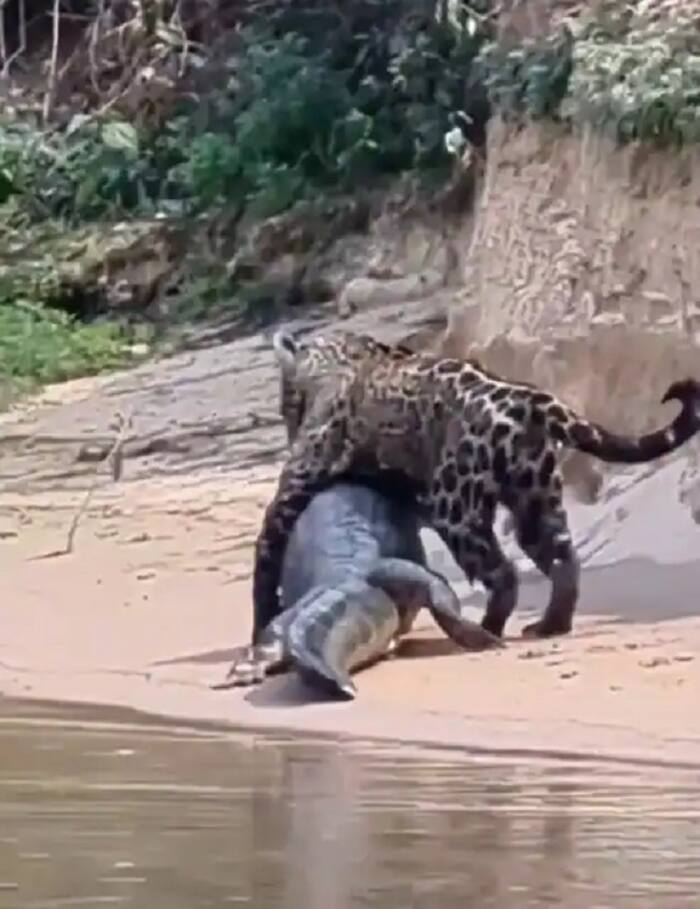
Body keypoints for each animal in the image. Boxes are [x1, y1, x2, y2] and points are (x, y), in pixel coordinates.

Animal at [252, 327, 700, 646]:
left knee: (504, 574)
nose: (288, 426)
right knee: (562, 561)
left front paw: (259, 630)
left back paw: (489, 629)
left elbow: (265, 563)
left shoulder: (291, 492)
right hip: (534, 500)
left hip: (456, 510)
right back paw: (550, 626)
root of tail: (528, 400)